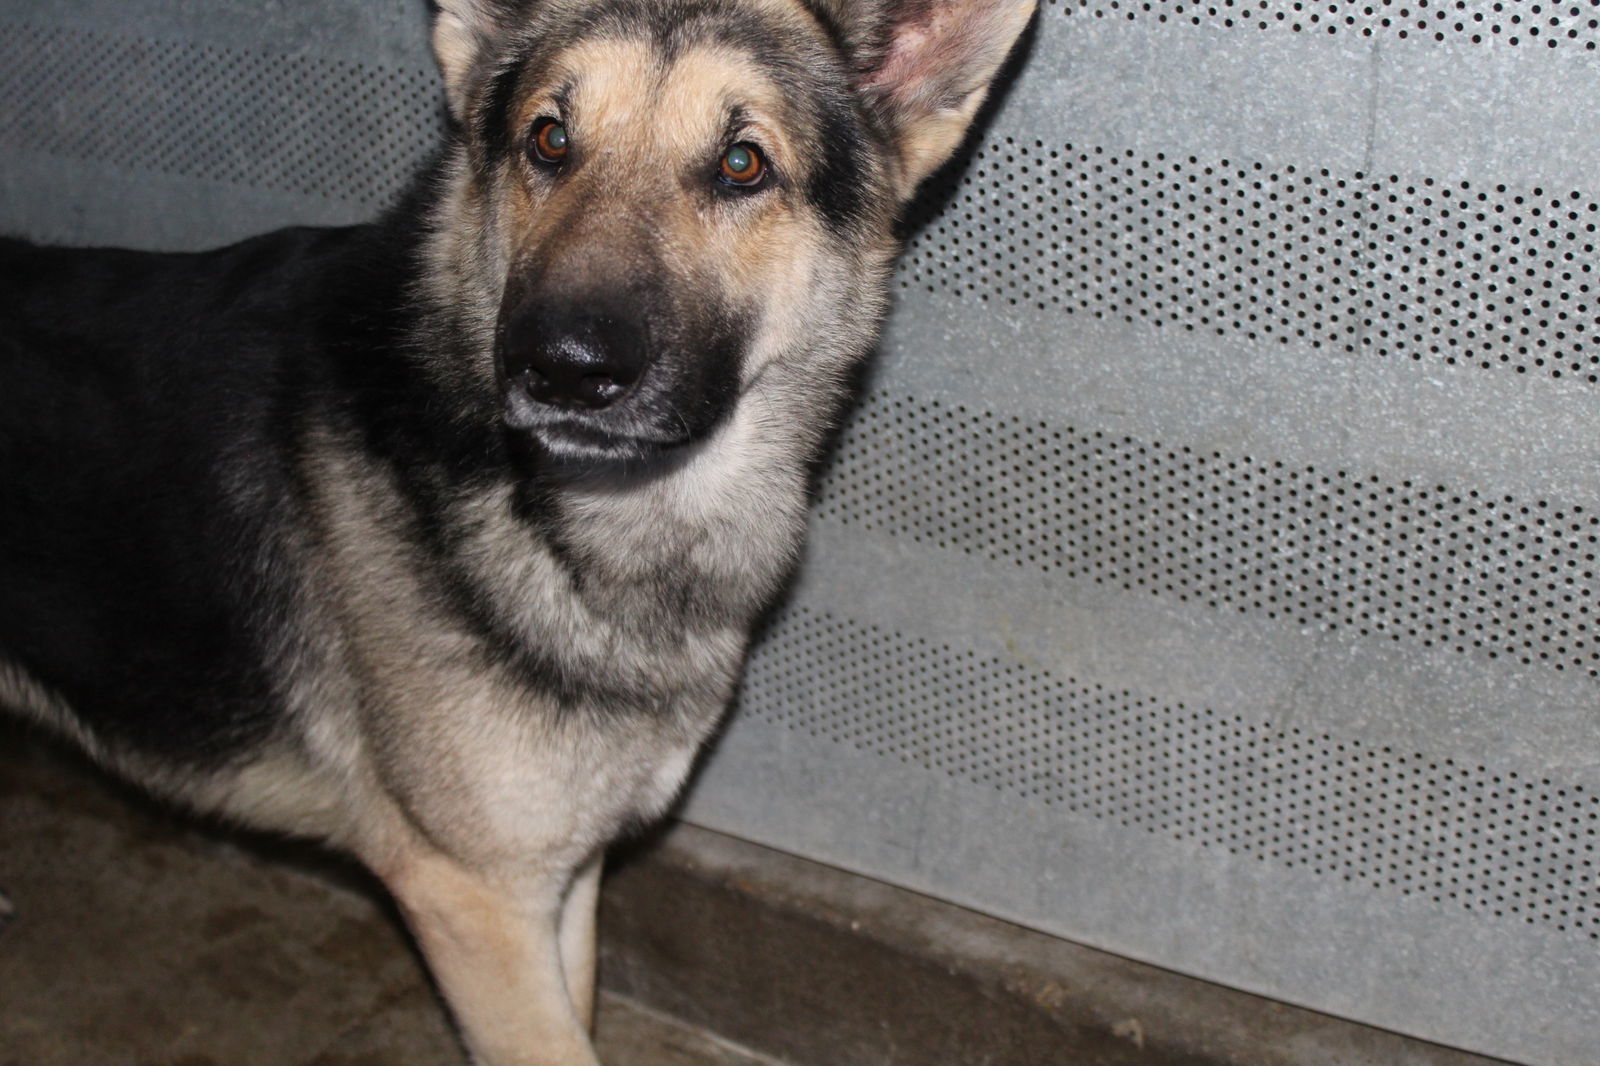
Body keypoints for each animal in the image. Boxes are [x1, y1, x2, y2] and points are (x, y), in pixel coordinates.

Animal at [0, 0, 1030, 1056]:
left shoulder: (561, 881)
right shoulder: (477, 899)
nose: (560, 367)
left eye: (743, 164)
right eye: (550, 140)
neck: (563, 518)